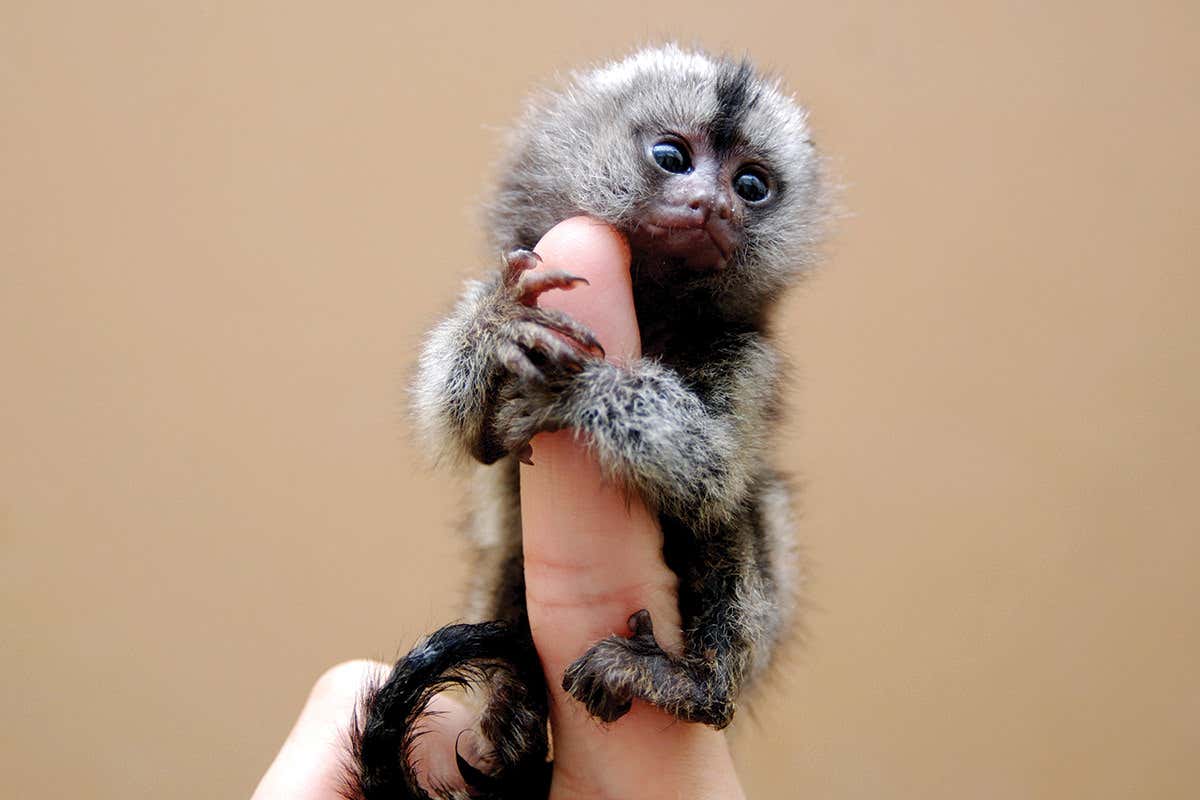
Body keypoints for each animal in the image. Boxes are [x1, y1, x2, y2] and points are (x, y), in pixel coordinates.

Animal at [344, 45, 825, 800]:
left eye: (751, 185)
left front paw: (580, 391)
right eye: (671, 156)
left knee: (746, 507)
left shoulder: (749, 358)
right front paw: (494, 326)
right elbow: (453, 426)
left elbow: (714, 471)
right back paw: (512, 710)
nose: (715, 205)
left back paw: (696, 685)